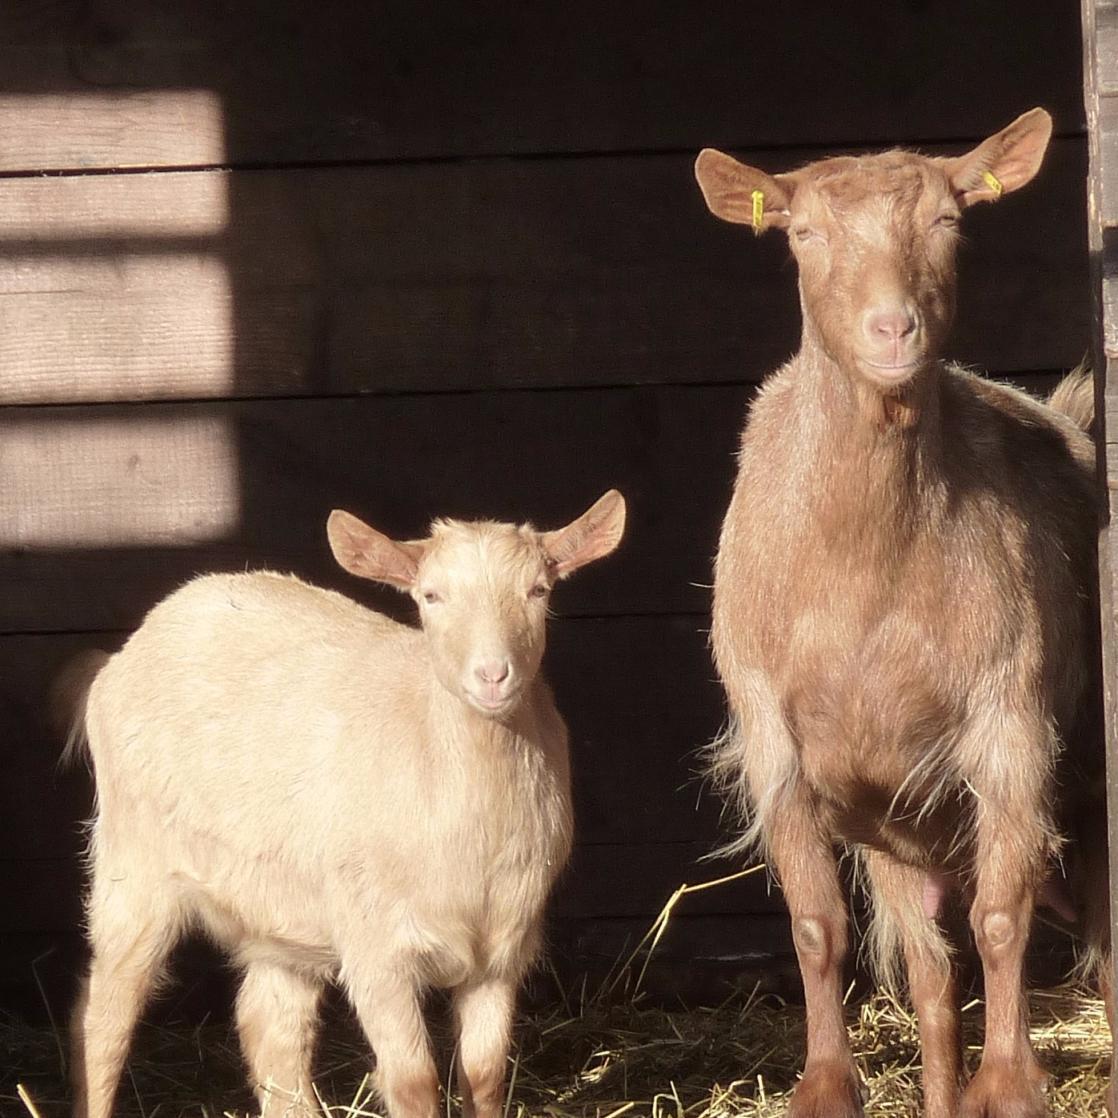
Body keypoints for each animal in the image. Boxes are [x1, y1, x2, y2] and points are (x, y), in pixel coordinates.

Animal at [65, 490, 626, 1118]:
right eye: (431, 596)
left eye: (539, 590)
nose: (492, 676)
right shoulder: (376, 948)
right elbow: (413, 1082)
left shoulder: (503, 949)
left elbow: (484, 1077)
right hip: (132, 862)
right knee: (105, 1012)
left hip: (280, 904)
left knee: (270, 1026)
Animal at [695, 109, 1108, 1118]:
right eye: (802, 233)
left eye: (949, 223)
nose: (893, 329)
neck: (863, 576)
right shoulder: (775, 743)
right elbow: (816, 926)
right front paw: (825, 1084)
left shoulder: (1010, 723)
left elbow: (1003, 915)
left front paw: (1011, 1083)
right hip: (905, 824)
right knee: (930, 971)